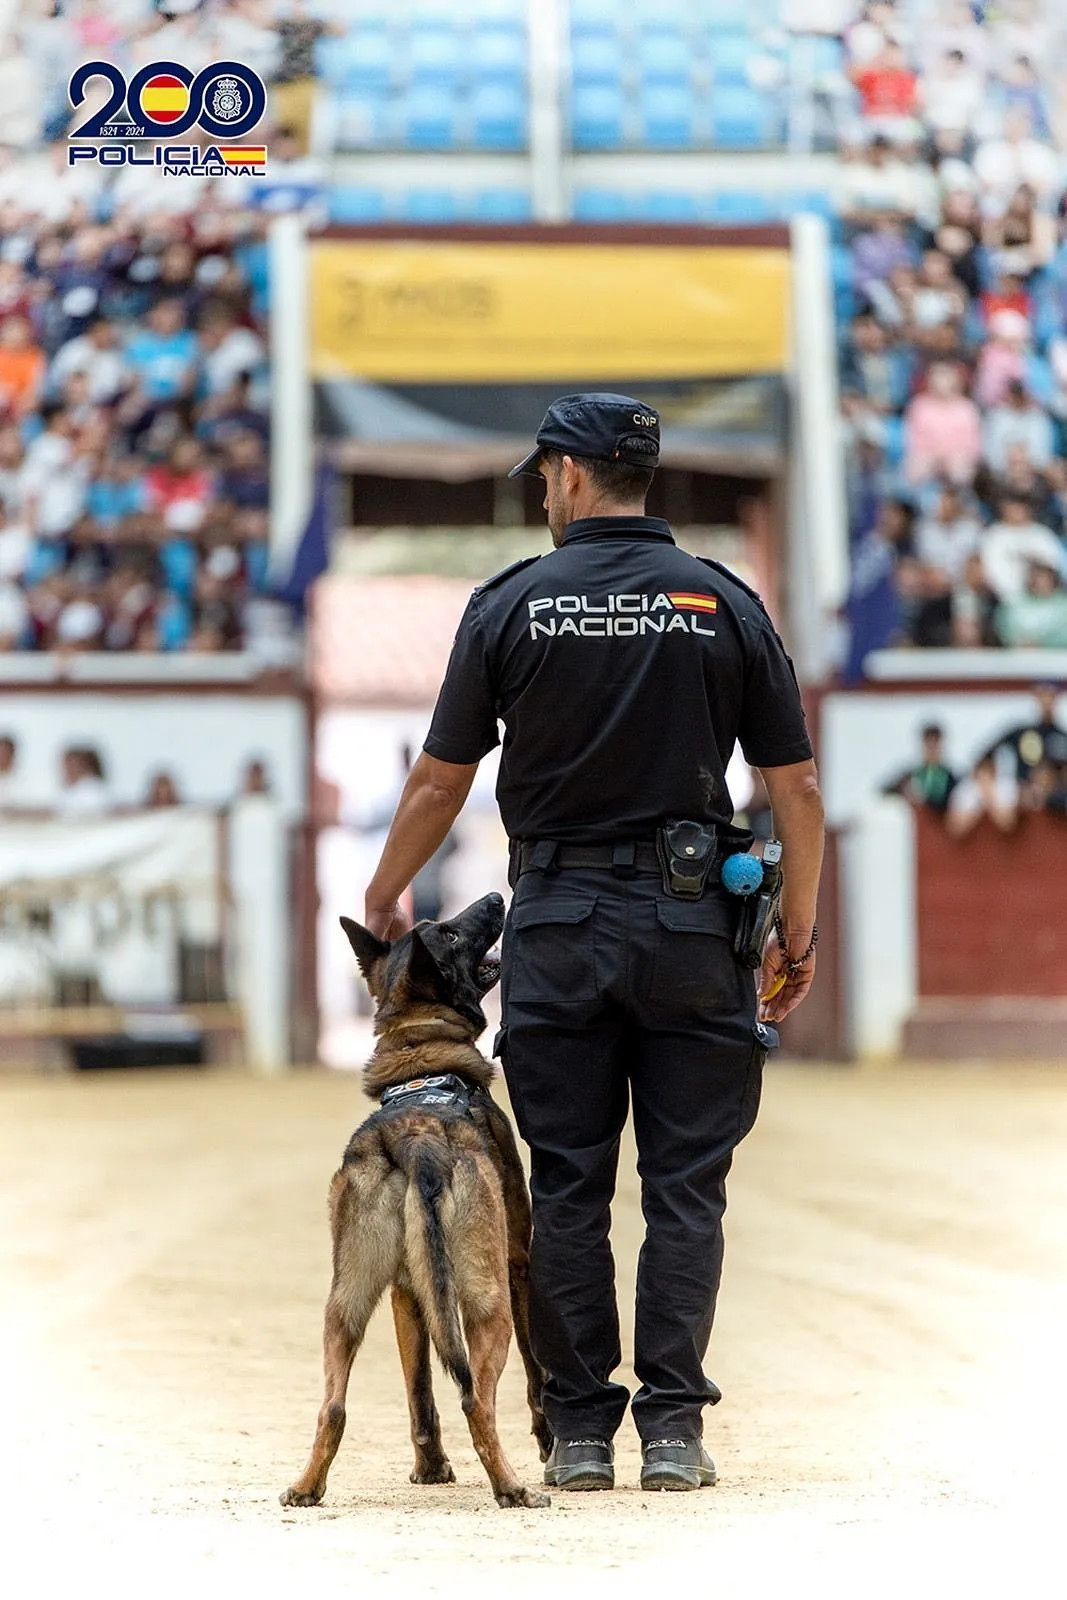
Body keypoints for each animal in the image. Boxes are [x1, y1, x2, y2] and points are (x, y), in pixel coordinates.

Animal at [283, 896, 550, 1504]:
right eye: (449, 932)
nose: (496, 900)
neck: (422, 1057)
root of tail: (416, 1139)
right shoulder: (518, 1265)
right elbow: (536, 1372)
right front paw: (549, 1440)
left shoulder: (407, 1291)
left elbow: (420, 1390)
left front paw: (430, 1468)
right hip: (488, 1303)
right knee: (477, 1399)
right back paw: (512, 1487)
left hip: (345, 1304)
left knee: (332, 1407)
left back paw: (307, 1486)